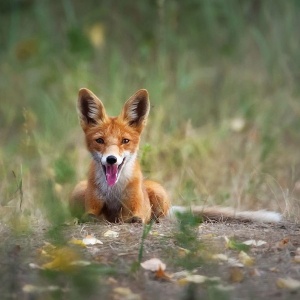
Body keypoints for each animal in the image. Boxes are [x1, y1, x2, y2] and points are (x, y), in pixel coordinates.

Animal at [69, 88, 282, 224]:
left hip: (159, 192)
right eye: (100, 141)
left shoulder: (136, 208)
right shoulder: (92, 207)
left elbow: (134, 218)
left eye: (125, 141)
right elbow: (94, 216)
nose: (111, 159)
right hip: (77, 191)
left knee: (160, 216)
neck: (113, 192)